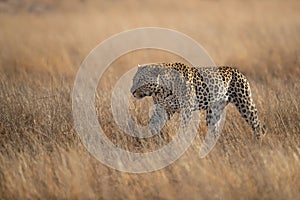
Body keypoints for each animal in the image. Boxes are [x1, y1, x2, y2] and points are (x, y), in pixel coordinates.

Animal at [130, 62, 266, 141]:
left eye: (141, 80)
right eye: (133, 79)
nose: (131, 91)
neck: (161, 90)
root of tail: (235, 70)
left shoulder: (186, 108)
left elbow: (183, 126)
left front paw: (180, 141)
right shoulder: (162, 108)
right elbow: (154, 124)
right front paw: (148, 139)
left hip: (245, 104)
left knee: (257, 125)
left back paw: (258, 143)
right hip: (214, 112)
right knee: (214, 130)